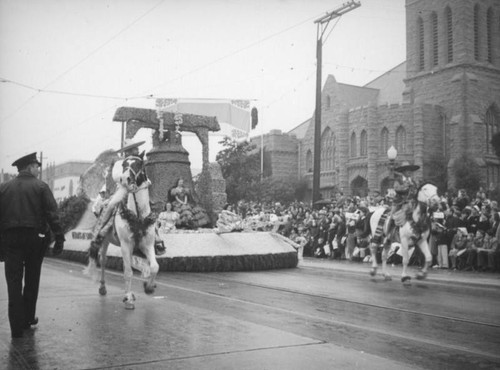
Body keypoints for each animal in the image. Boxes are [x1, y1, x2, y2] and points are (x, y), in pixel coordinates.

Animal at [84, 153, 158, 310]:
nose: (125, 179)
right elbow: (128, 272)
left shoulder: (147, 244)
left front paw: (148, 287)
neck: (137, 215)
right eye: (124, 164)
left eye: (139, 164)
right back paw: (103, 288)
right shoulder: (125, 244)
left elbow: (154, 266)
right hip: (105, 241)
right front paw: (128, 299)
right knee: (103, 261)